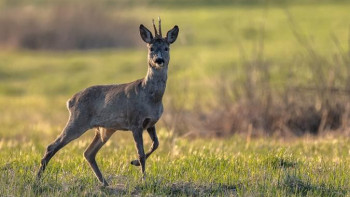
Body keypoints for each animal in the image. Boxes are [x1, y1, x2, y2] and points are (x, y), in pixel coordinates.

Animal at [36, 17, 178, 186]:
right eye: (151, 48)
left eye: (166, 48)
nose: (159, 60)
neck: (151, 97)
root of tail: (70, 101)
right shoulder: (135, 122)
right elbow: (141, 152)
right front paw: (143, 178)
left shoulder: (150, 123)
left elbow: (156, 144)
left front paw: (134, 163)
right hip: (78, 120)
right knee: (52, 146)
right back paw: (37, 178)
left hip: (105, 129)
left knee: (88, 153)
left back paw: (104, 183)